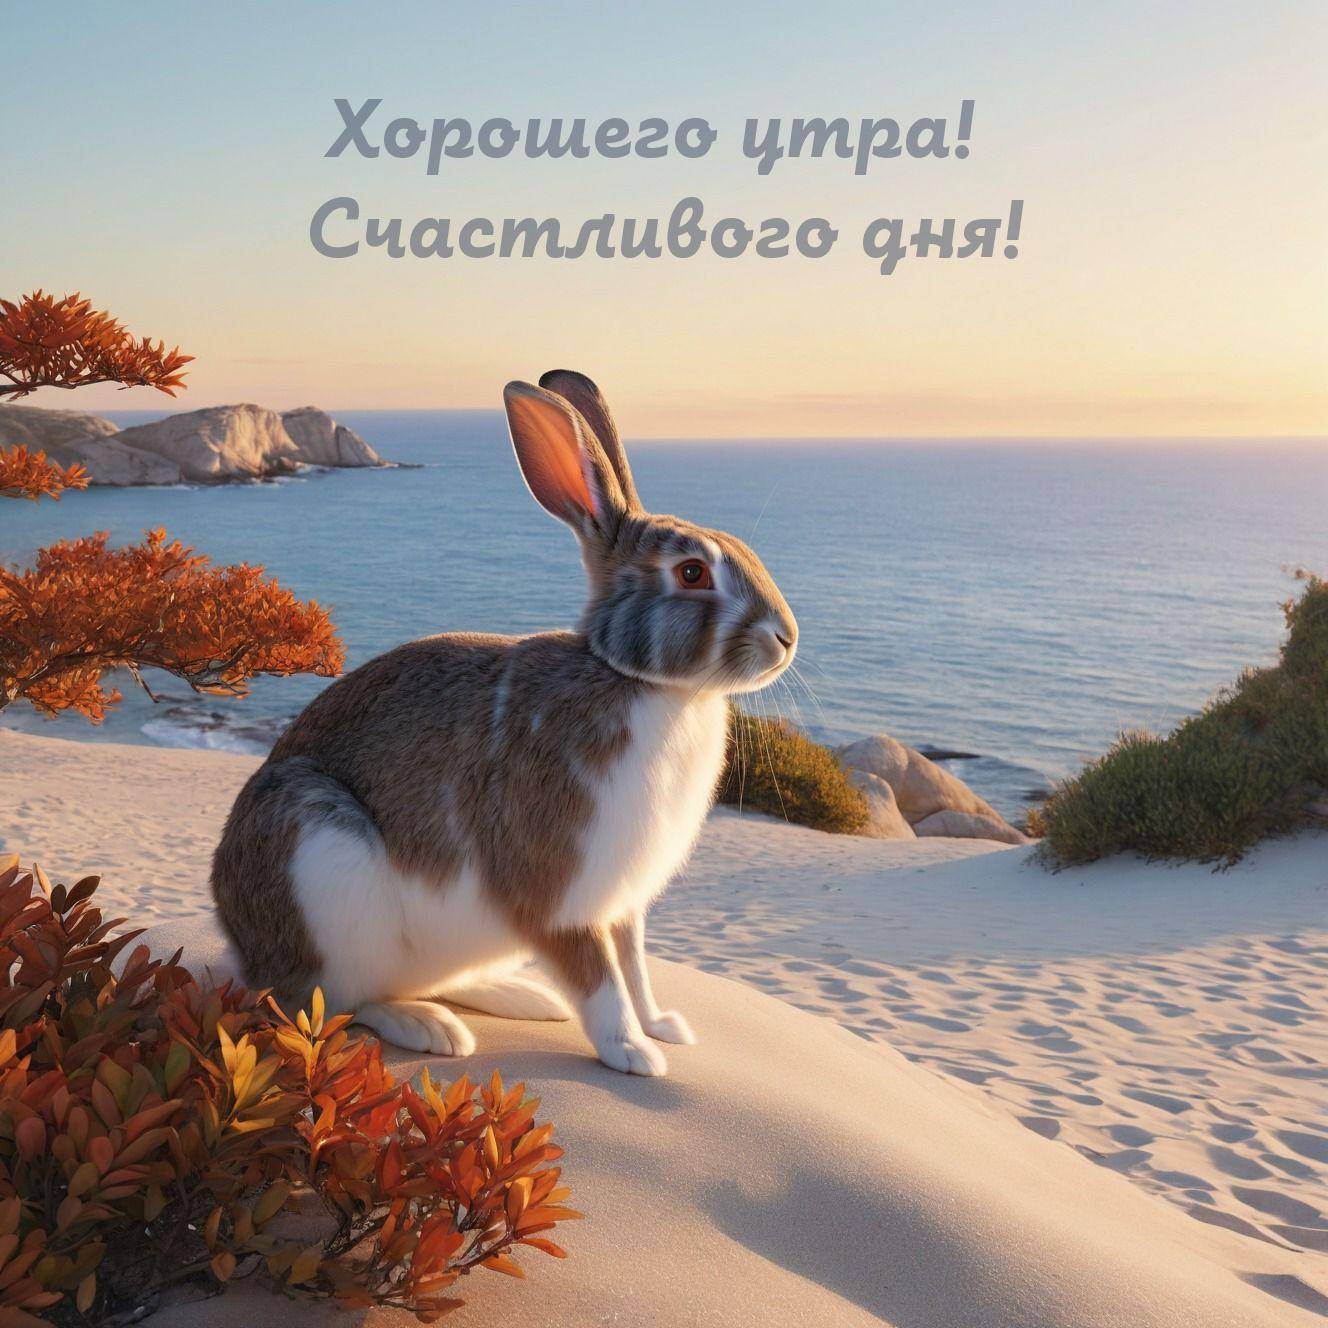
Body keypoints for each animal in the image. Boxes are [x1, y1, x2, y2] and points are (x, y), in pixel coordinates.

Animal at [210, 370, 797, 1076]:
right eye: (691, 572)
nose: (787, 639)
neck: (642, 682)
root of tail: (240, 944)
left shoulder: (623, 902)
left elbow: (633, 966)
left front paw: (663, 1027)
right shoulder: (558, 893)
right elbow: (599, 979)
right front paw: (633, 1053)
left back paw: (520, 996)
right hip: (320, 865)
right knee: (331, 1000)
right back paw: (431, 1026)